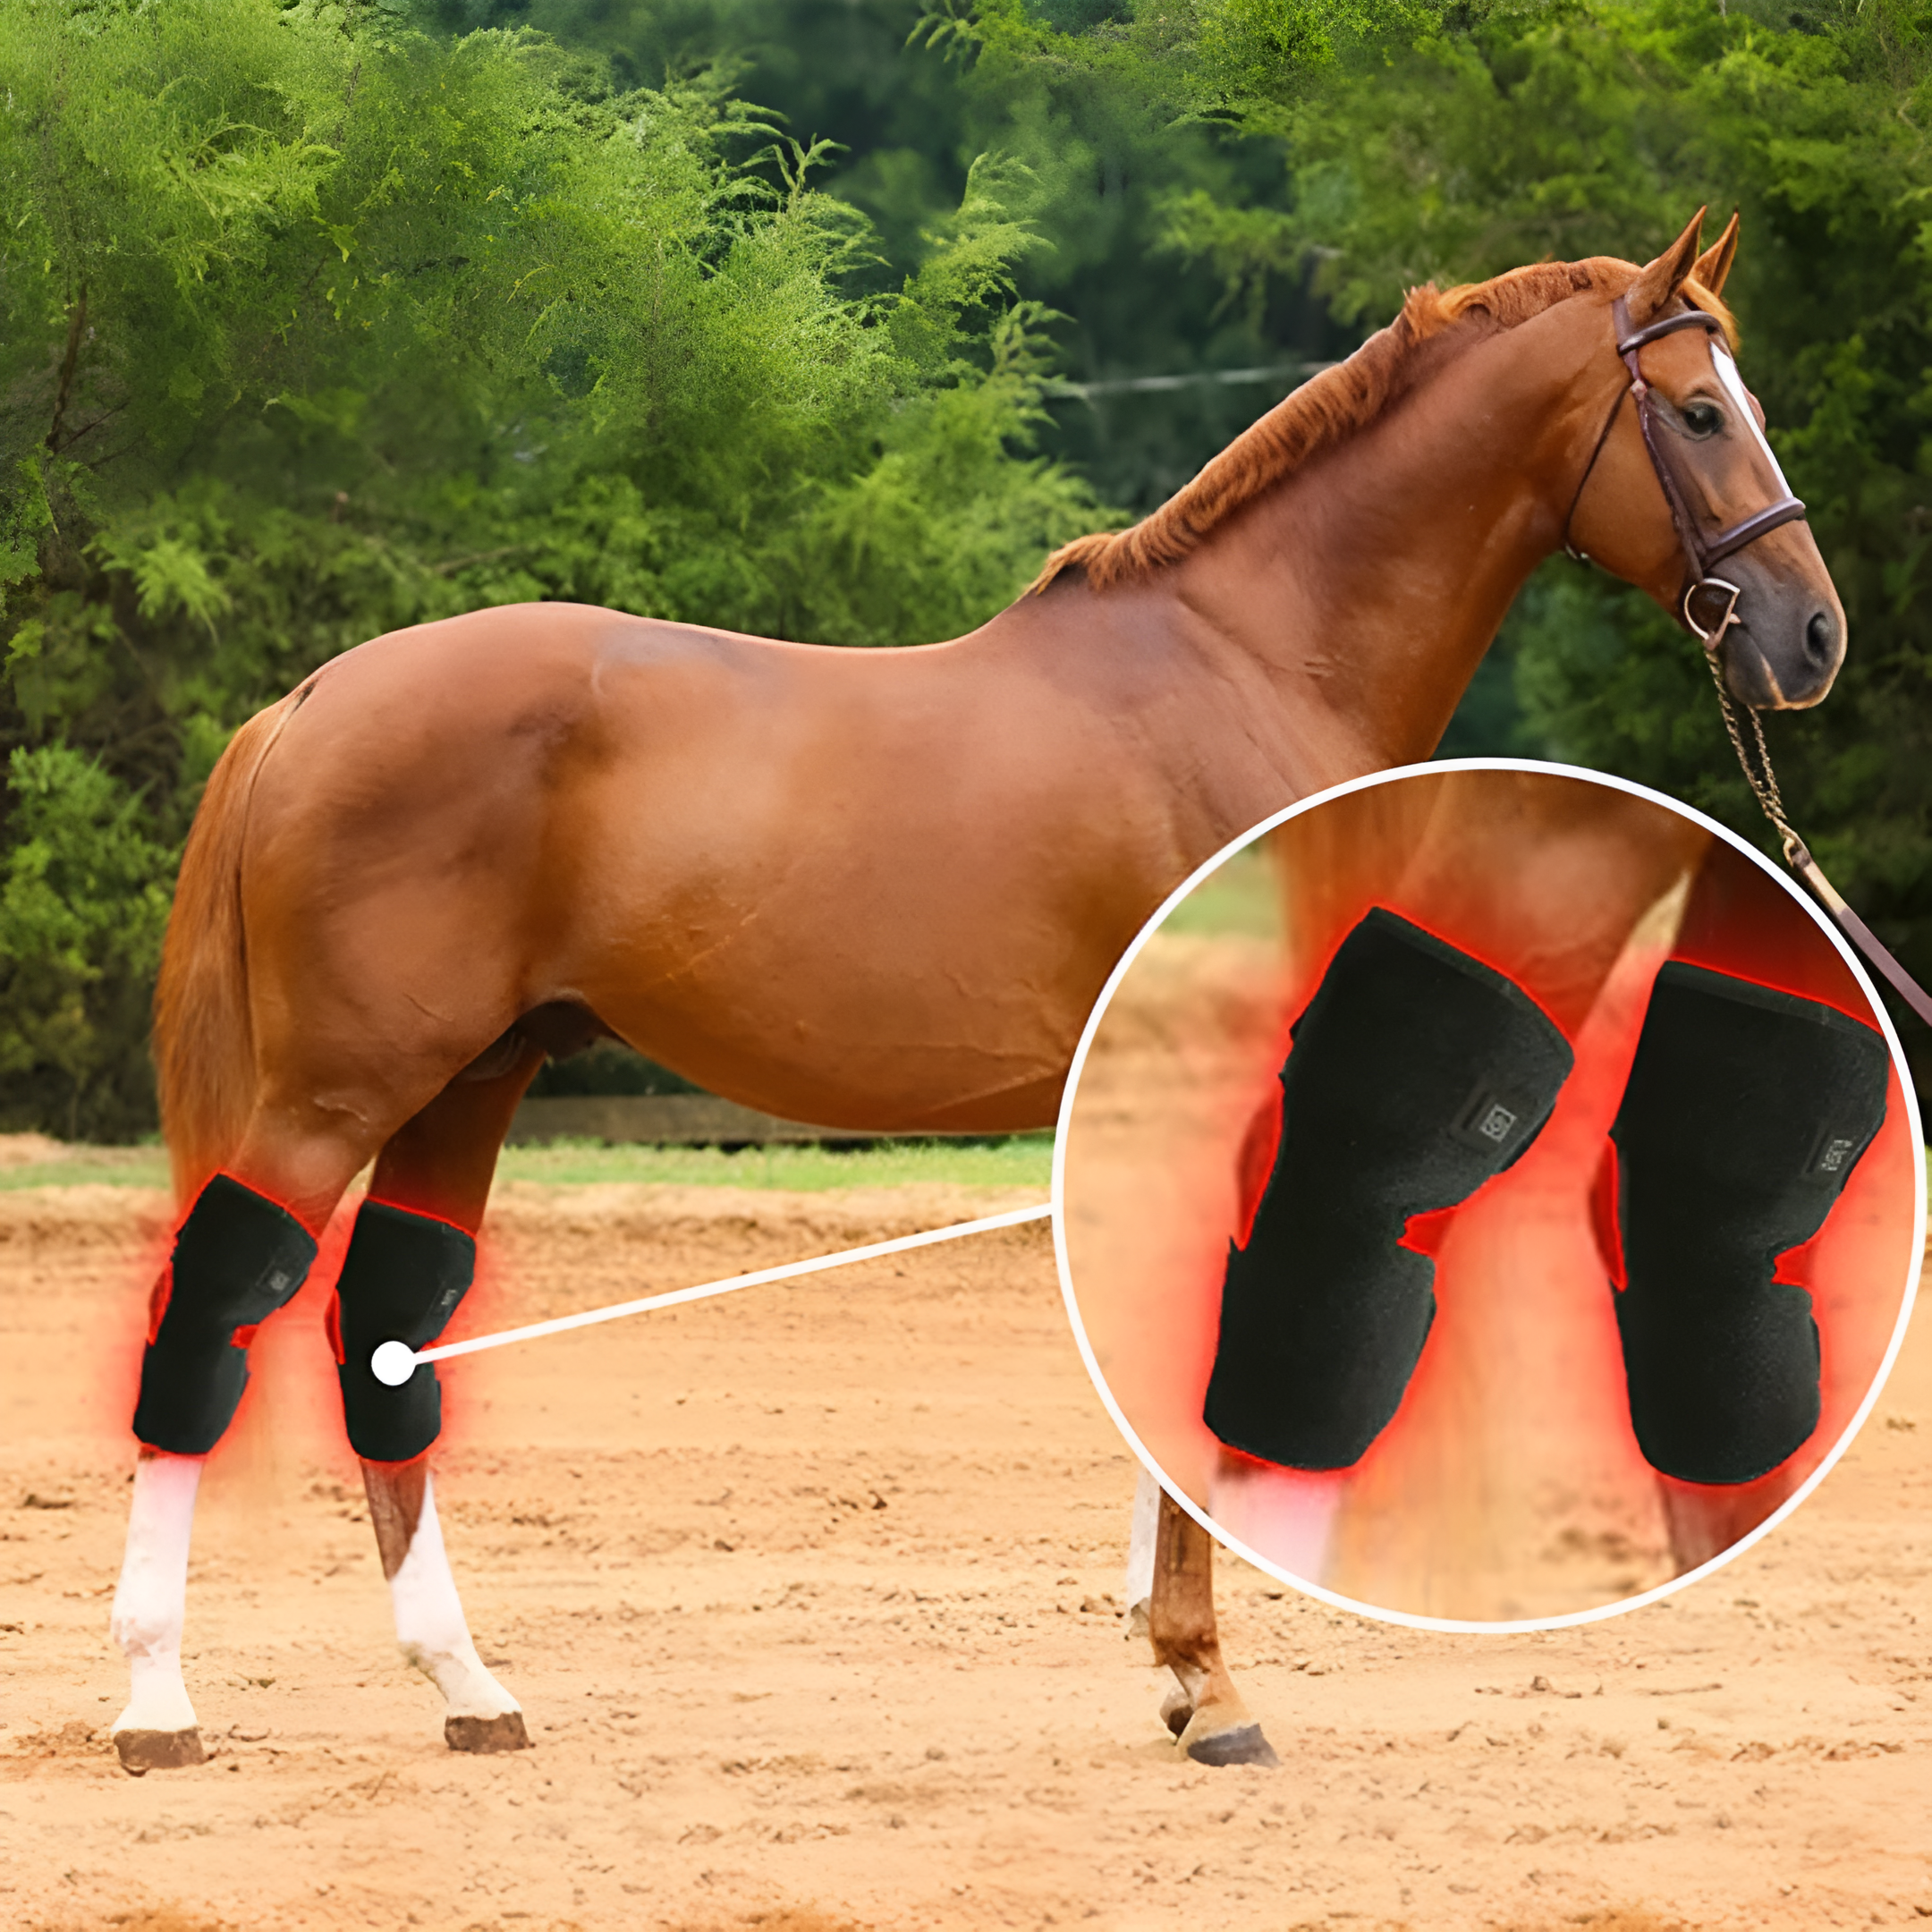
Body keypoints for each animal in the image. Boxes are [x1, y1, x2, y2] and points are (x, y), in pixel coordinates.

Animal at [106, 206, 1846, 1776]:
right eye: (1698, 411)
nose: (1811, 634)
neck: (1250, 662)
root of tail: (311, 700)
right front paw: (1211, 1685)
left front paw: (1172, 1667)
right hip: (331, 1097)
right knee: (219, 1310)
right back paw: (156, 1705)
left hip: (469, 1086)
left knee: (385, 1332)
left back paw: (467, 1686)